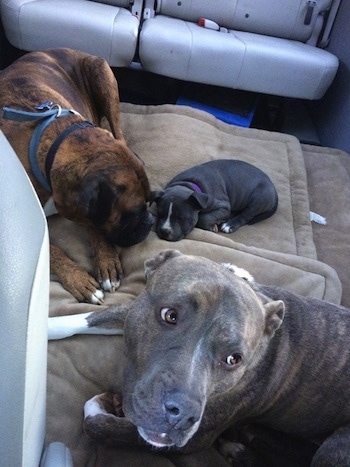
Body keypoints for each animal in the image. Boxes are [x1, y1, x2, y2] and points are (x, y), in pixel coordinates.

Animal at [0, 47, 153, 304]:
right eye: (131, 214)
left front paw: (106, 260)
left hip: (102, 74)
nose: (150, 222)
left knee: (119, 132)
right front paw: (78, 279)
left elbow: (93, 224)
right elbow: (51, 249)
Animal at [47, 250, 350, 466]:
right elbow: (88, 317)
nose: (181, 414)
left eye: (234, 359)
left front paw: (99, 407)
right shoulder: (134, 309)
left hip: (335, 446)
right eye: (169, 315)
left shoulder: (194, 439)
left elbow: (98, 425)